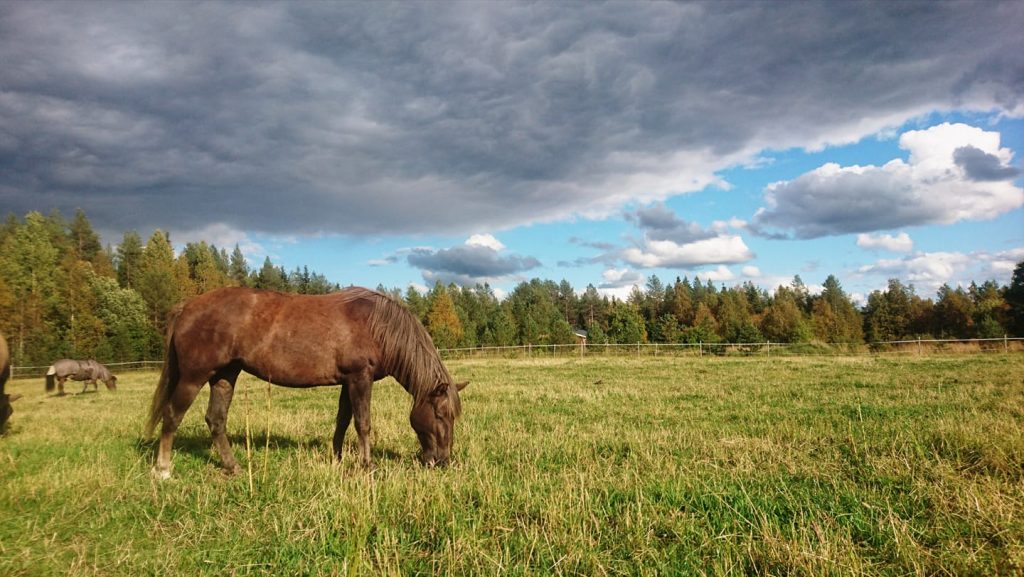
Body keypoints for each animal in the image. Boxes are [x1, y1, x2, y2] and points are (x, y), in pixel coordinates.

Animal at [143, 286, 468, 481]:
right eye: (440, 415)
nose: (442, 461)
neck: (378, 327)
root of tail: (187, 307)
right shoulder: (360, 378)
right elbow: (362, 423)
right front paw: (367, 465)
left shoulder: (347, 382)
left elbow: (342, 421)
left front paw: (336, 459)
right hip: (193, 377)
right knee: (173, 416)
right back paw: (163, 469)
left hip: (225, 375)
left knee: (216, 419)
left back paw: (233, 466)